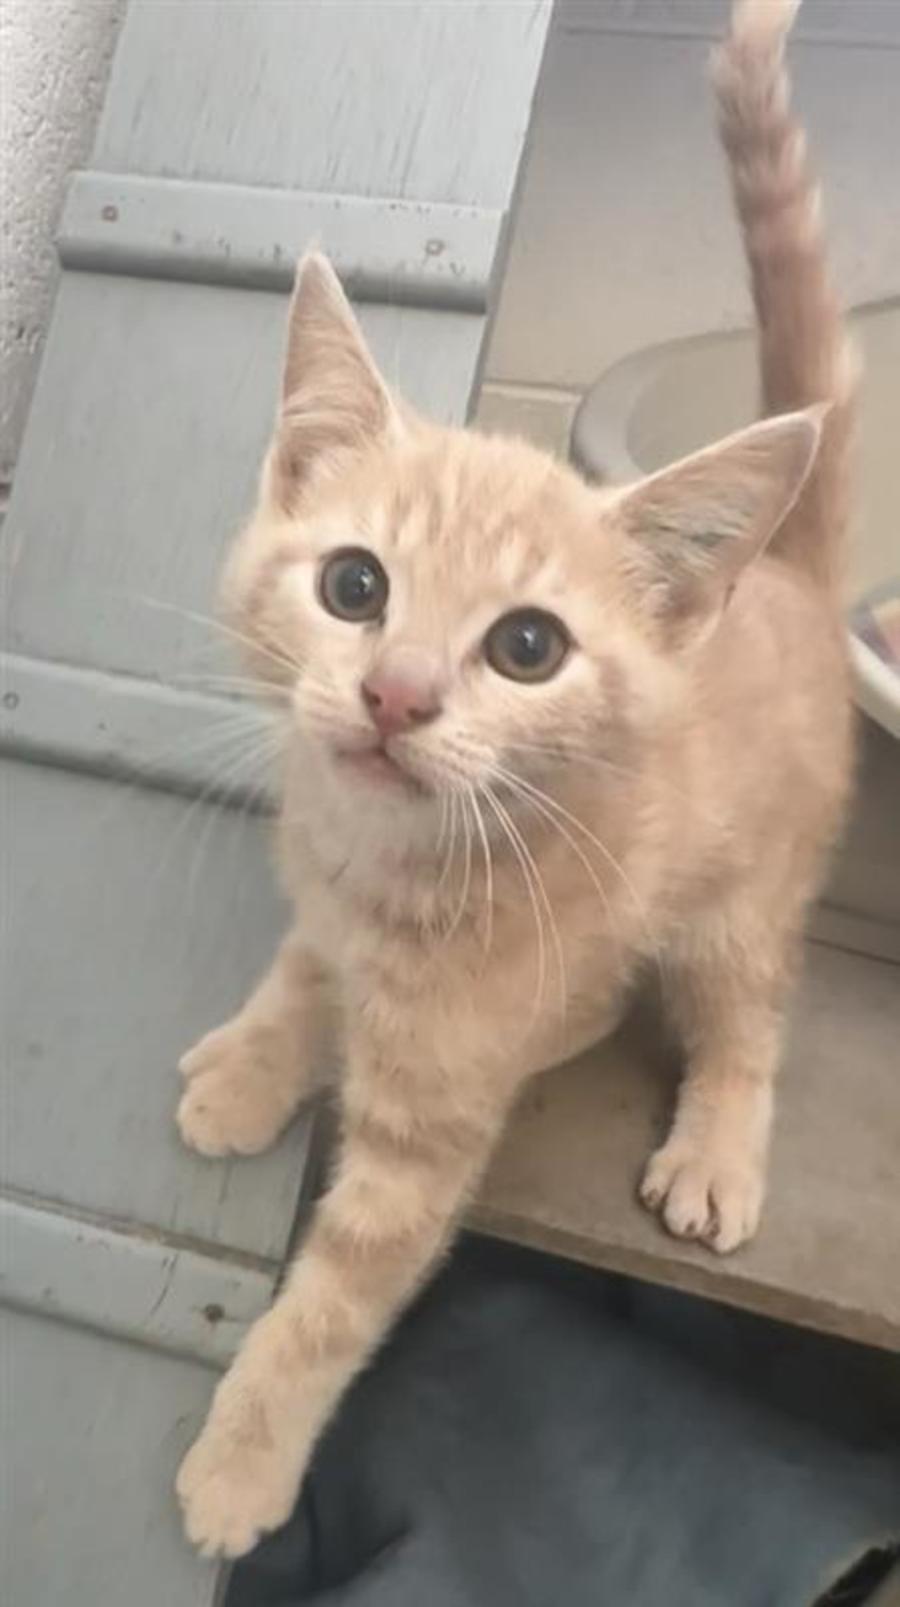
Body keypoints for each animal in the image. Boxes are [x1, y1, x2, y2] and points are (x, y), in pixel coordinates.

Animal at [176, 0, 856, 1559]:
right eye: (354, 585)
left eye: (528, 646)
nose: (395, 695)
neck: (382, 862)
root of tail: (787, 569)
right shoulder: (329, 897)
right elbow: (303, 965)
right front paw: (251, 1062)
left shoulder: (424, 1138)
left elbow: (333, 1304)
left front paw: (240, 1465)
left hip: (744, 895)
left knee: (744, 1010)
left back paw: (720, 1138)